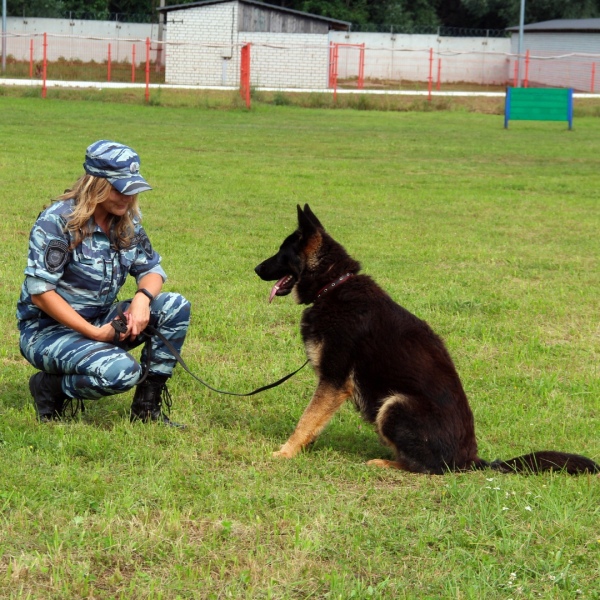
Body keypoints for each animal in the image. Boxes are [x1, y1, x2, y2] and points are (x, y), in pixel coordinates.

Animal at [254, 204, 600, 476]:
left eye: (281, 253)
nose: (255, 268)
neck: (333, 285)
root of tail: (471, 460)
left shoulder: (334, 380)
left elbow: (305, 420)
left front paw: (285, 453)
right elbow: (313, 422)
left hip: (394, 405)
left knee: (429, 468)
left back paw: (384, 463)